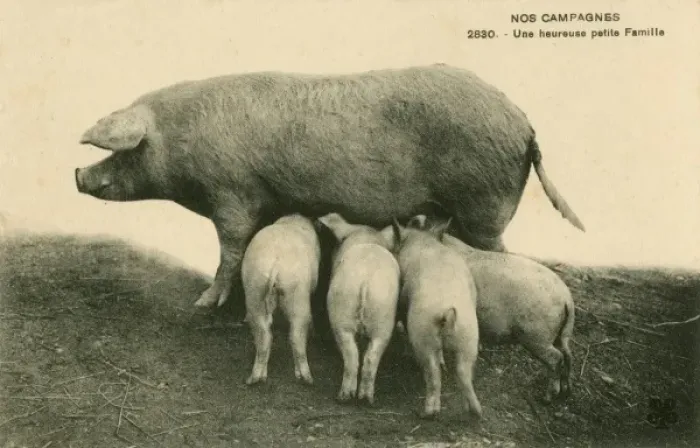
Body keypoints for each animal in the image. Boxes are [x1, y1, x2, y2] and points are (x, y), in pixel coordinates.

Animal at [74, 64, 586, 312]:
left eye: (127, 150)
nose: (77, 175)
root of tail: (525, 124)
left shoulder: (232, 193)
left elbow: (231, 248)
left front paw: (203, 305)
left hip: (484, 200)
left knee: (498, 250)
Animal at [240, 214, 321, 385]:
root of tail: (276, 264)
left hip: (255, 289)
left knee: (263, 335)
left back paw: (255, 379)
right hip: (297, 293)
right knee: (296, 335)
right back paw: (307, 379)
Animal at [317, 212, 400, 405]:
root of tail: (365, 283)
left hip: (342, 315)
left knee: (352, 356)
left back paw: (345, 397)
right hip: (382, 320)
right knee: (369, 357)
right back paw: (365, 398)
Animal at [390, 216, 482, 419]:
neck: (424, 241)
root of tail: (447, 315)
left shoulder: (403, 299)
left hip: (423, 335)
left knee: (433, 375)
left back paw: (428, 413)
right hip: (468, 336)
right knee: (463, 373)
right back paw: (476, 411)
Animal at [405, 214, 575, 403]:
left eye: (418, 226)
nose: (414, 218)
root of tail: (567, 299)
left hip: (537, 335)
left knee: (556, 358)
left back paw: (547, 398)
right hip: (561, 333)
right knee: (568, 355)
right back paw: (566, 392)